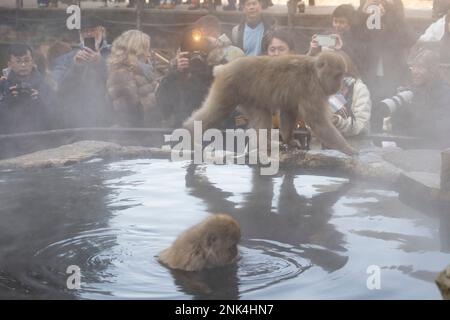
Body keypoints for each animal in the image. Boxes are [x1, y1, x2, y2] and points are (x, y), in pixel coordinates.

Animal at [183, 50, 358, 156]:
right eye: (337, 75)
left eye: (342, 75)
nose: (339, 85)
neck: (315, 73)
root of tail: (223, 67)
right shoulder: (313, 90)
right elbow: (318, 123)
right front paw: (348, 149)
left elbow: (289, 111)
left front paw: (288, 140)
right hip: (228, 87)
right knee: (217, 110)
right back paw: (189, 132)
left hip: (248, 96)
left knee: (262, 116)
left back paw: (264, 145)